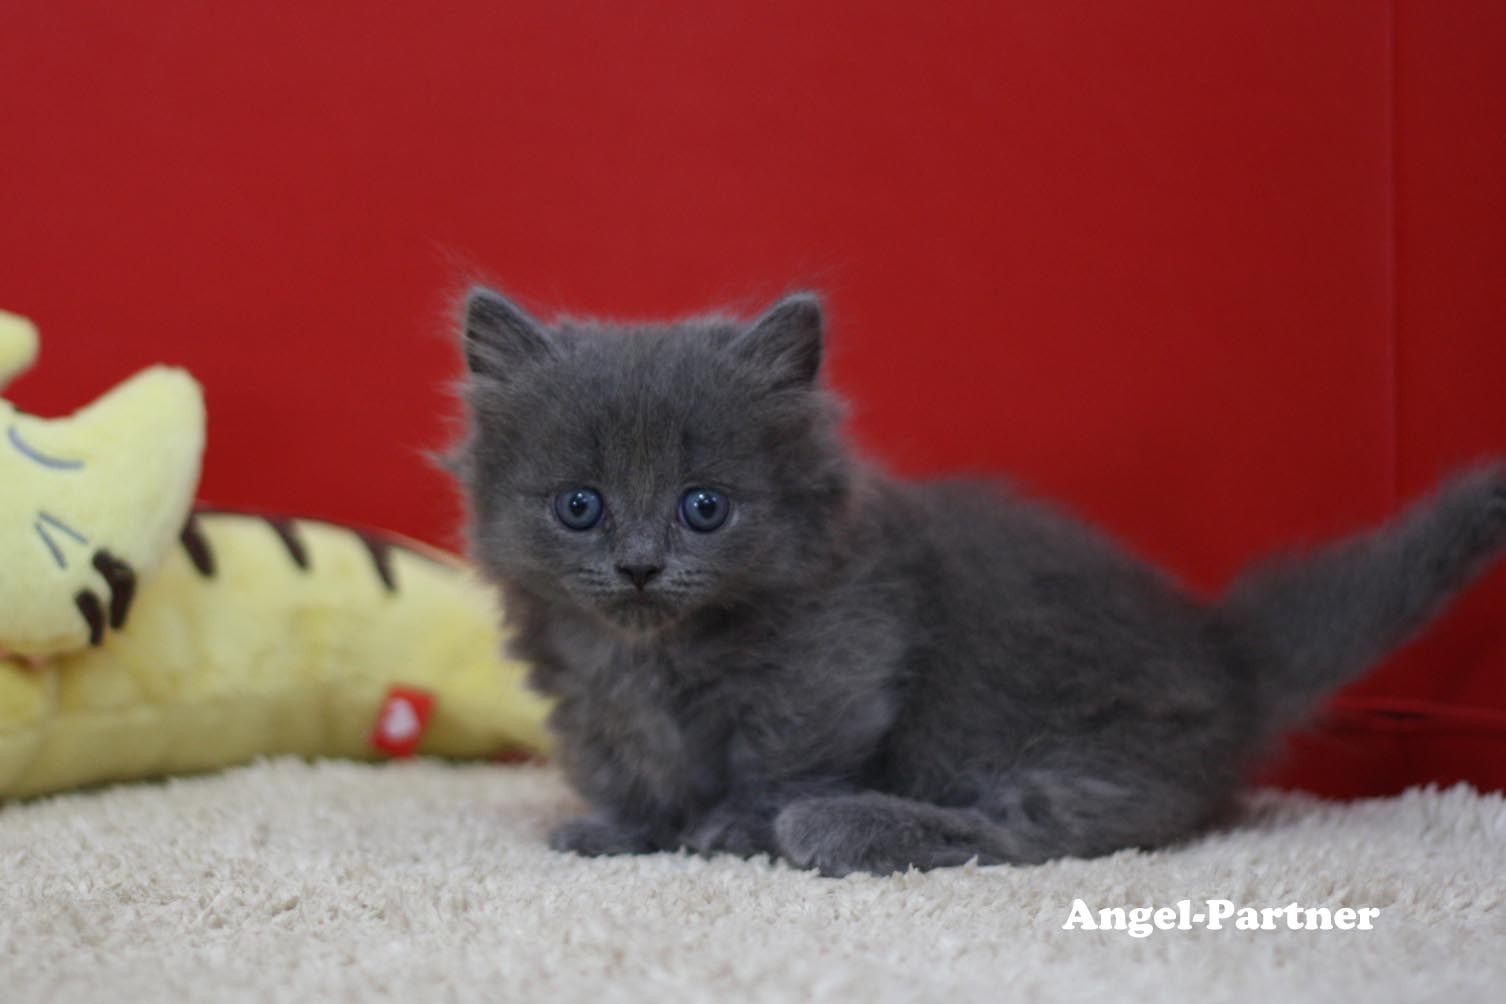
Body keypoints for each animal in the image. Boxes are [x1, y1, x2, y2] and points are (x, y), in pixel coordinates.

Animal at [451, 285, 1506, 873]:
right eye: (579, 506)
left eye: (704, 507)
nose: (639, 565)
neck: (646, 653)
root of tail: (1228, 653)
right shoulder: (590, 696)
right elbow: (629, 762)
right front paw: (626, 828)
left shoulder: (834, 657)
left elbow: (778, 756)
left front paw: (729, 828)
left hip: (1096, 748)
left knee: (1028, 833)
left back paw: (843, 826)